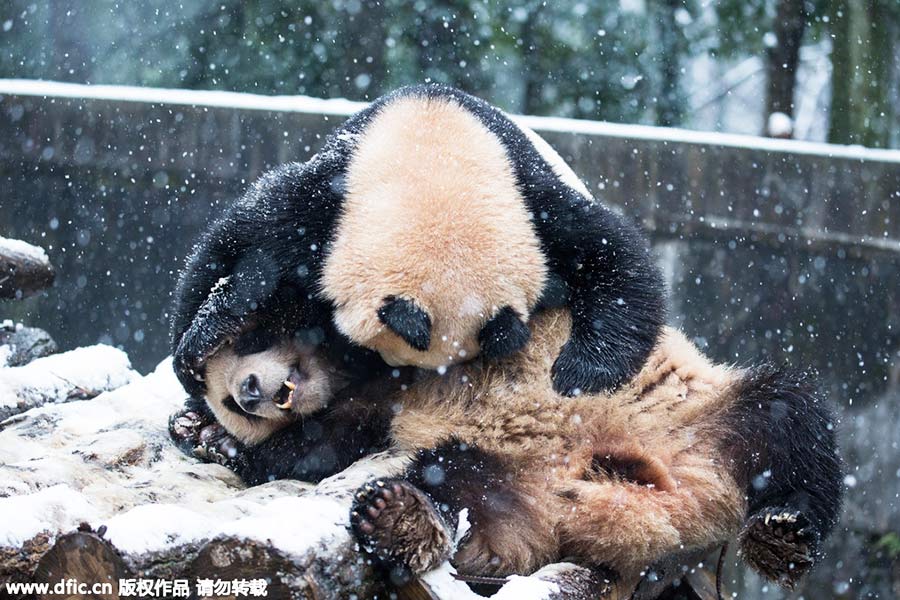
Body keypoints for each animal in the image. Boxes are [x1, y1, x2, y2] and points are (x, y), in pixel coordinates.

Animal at [172, 81, 668, 398]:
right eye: (385, 351)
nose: (389, 373)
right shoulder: (332, 198)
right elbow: (238, 242)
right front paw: (197, 354)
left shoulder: (531, 204)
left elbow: (615, 257)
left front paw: (579, 372)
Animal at [174, 312, 844, 592]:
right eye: (230, 400)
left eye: (251, 343)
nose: (249, 392)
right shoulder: (373, 405)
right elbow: (328, 443)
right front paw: (204, 431)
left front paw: (204, 432)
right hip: (500, 470)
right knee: (461, 489)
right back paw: (400, 518)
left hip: (697, 414)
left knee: (790, 418)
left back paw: (784, 533)